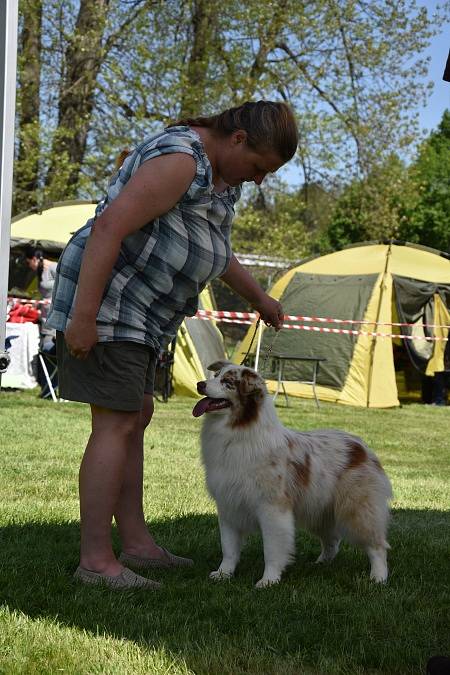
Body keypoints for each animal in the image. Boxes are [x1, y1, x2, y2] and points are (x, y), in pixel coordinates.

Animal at [192, 362, 390, 588]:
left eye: (228, 382)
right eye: (216, 375)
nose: (199, 384)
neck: (237, 430)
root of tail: (362, 446)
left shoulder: (272, 509)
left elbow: (272, 549)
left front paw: (268, 580)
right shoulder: (228, 505)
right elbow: (229, 547)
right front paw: (223, 574)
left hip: (358, 510)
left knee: (377, 545)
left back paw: (378, 578)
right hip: (319, 510)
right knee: (332, 540)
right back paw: (321, 564)